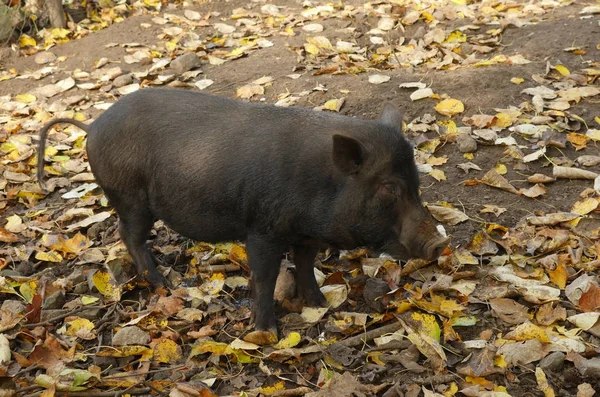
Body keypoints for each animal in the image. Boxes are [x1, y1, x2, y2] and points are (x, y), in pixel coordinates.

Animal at [37, 89, 448, 334]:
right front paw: (267, 332)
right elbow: (265, 277)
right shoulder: (262, 229)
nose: (439, 243)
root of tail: (92, 125)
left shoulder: (306, 234)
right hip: (130, 197)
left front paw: (321, 305)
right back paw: (162, 284)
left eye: (415, 182)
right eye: (389, 188)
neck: (320, 182)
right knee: (130, 235)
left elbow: (305, 266)